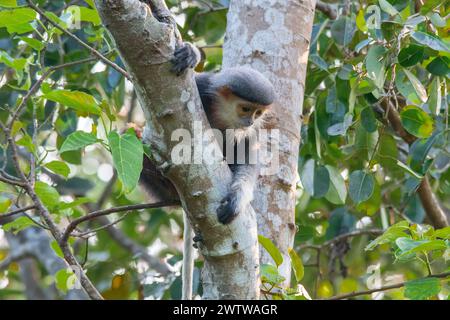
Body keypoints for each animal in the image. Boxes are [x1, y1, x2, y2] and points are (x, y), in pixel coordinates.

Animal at [140, 42, 274, 224]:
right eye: (246, 109)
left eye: (258, 113)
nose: (250, 121)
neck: (222, 116)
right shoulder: (201, 86)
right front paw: (191, 54)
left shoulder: (251, 132)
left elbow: (248, 160)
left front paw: (237, 198)